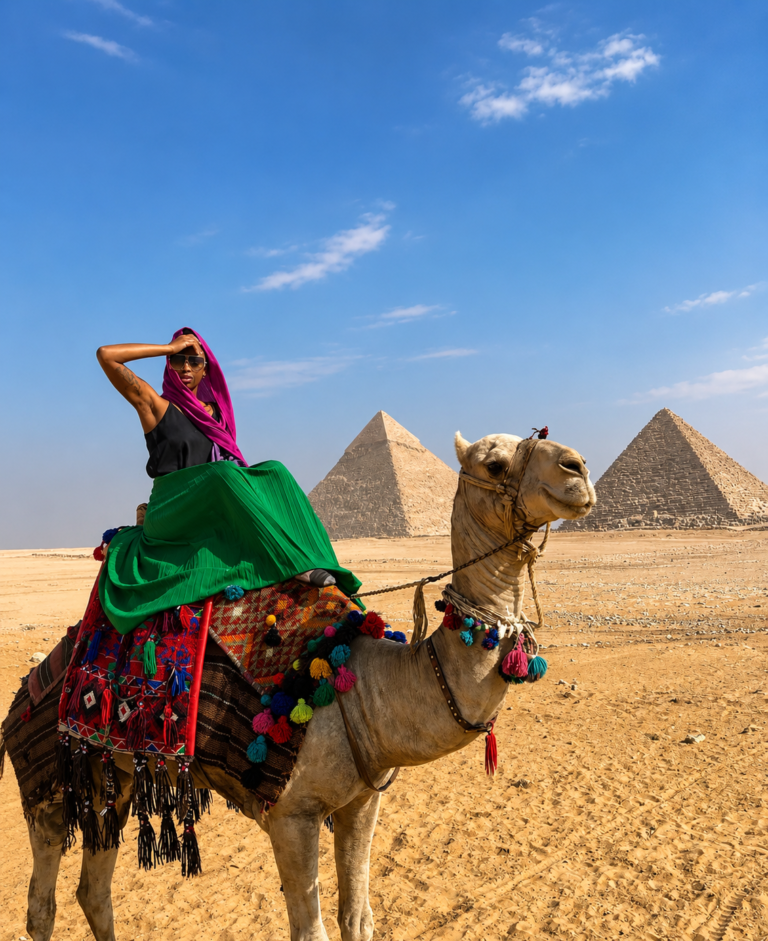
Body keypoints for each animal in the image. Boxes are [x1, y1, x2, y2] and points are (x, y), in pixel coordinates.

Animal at [4, 431, 595, 941]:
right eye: (493, 464)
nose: (579, 470)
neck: (364, 686)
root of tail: (28, 687)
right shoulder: (292, 814)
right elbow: (311, 930)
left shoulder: (363, 802)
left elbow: (358, 917)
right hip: (47, 783)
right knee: (42, 902)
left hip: (114, 777)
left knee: (93, 890)